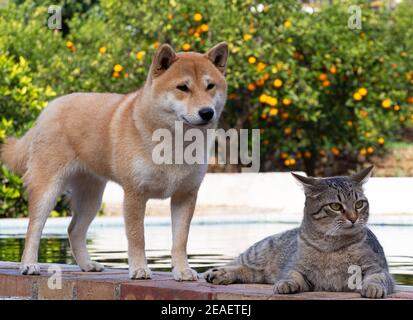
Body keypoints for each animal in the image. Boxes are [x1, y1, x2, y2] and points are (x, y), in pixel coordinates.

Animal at [0, 42, 229, 280]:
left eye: (210, 86)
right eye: (183, 87)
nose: (207, 112)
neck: (175, 142)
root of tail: (49, 108)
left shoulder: (185, 195)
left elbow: (180, 240)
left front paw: (182, 270)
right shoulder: (135, 194)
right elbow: (137, 237)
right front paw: (139, 269)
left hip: (91, 198)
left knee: (74, 230)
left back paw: (87, 265)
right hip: (48, 189)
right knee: (34, 228)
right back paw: (29, 265)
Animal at [204, 166, 394, 298]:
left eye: (359, 204)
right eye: (335, 206)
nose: (354, 218)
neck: (330, 246)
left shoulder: (376, 268)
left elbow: (376, 278)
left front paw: (373, 288)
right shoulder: (296, 267)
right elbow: (292, 275)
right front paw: (286, 283)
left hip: (259, 272)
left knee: (249, 272)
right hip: (256, 253)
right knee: (237, 264)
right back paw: (216, 273)